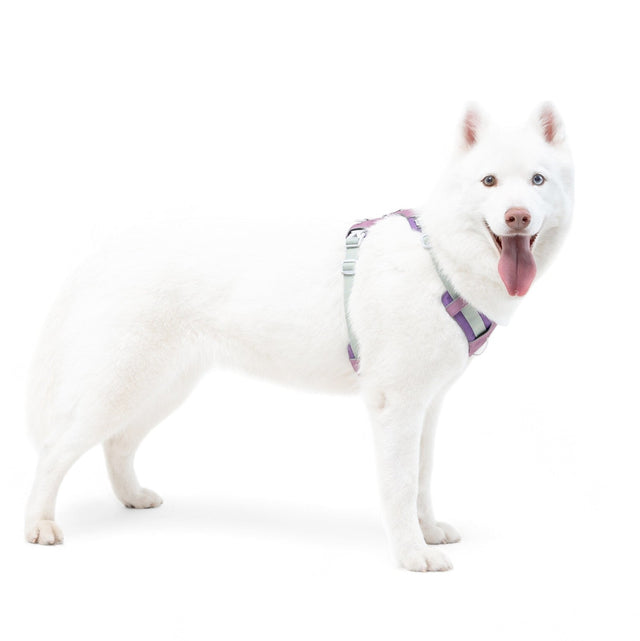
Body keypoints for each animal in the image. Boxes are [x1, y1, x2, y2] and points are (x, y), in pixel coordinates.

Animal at [25, 104, 573, 571]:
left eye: (537, 180)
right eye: (489, 181)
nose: (518, 216)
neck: (440, 260)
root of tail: (112, 247)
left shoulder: (428, 405)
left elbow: (422, 477)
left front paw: (427, 530)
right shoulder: (396, 406)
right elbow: (400, 484)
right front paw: (411, 553)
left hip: (164, 386)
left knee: (117, 444)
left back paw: (131, 497)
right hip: (121, 384)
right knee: (53, 450)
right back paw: (39, 524)